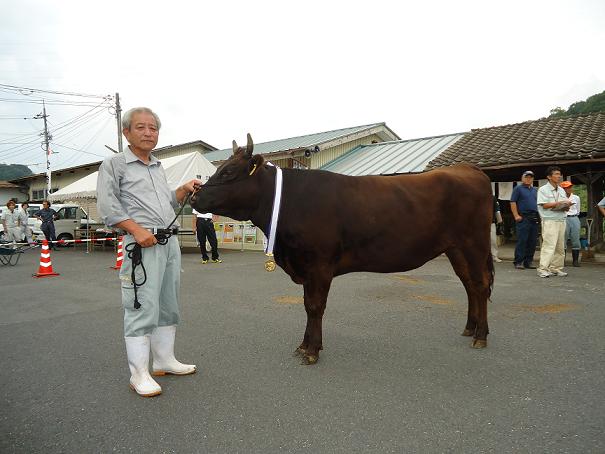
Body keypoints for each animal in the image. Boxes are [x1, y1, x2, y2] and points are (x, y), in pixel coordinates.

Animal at [191, 135, 494, 366]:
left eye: (228, 172)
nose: (194, 196)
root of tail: (467, 169)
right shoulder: (305, 265)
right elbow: (307, 304)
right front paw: (305, 346)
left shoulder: (319, 264)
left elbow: (315, 306)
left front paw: (312, 351)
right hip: (456, 249)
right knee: (469, 284)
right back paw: (470, 328)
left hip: (474, 244)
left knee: (480, 285)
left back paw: (481, 335)